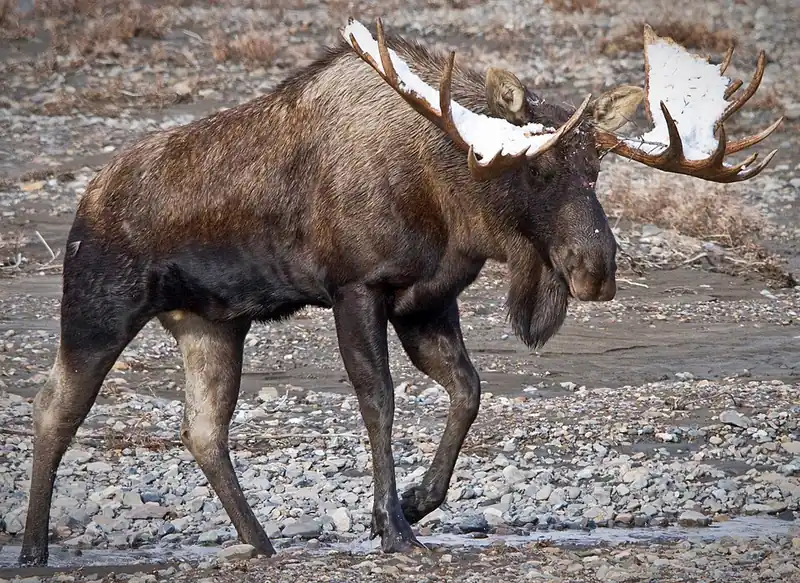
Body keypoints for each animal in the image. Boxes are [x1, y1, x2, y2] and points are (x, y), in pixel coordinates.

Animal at [18, 18, 782, 565]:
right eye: (537, 170)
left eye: (596, 167)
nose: (597, 267)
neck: (451, 199)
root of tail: (86, 196)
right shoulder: (356, 288)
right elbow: (378, 402)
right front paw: (391, 525)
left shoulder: (428, 300)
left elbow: (469, 392)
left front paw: (415, 503)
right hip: (97, 306)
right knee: (54, 407)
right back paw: (32, 548)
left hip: (211, 324)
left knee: (203, 429)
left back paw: (261, 543)